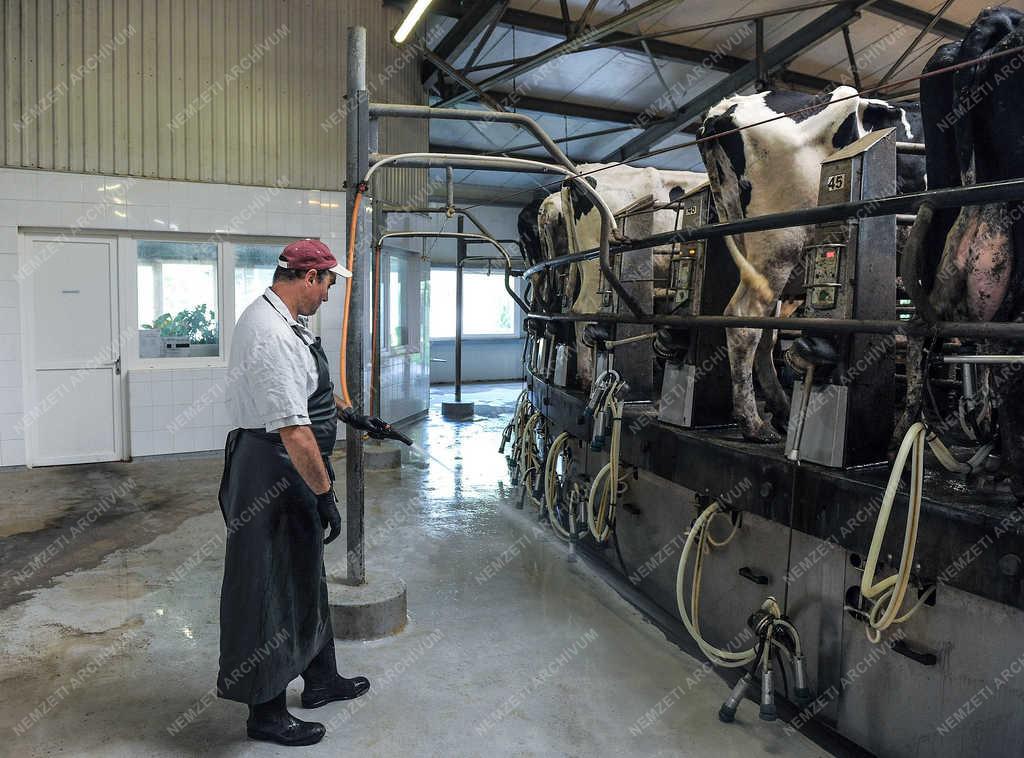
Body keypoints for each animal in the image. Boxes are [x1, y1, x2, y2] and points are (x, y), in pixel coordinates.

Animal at [696, 88, 929, 440]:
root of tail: (725, 108)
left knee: (765, 329)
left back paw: (780, 410)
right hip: (781, 243)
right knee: (744, 320)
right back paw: (753, 423)